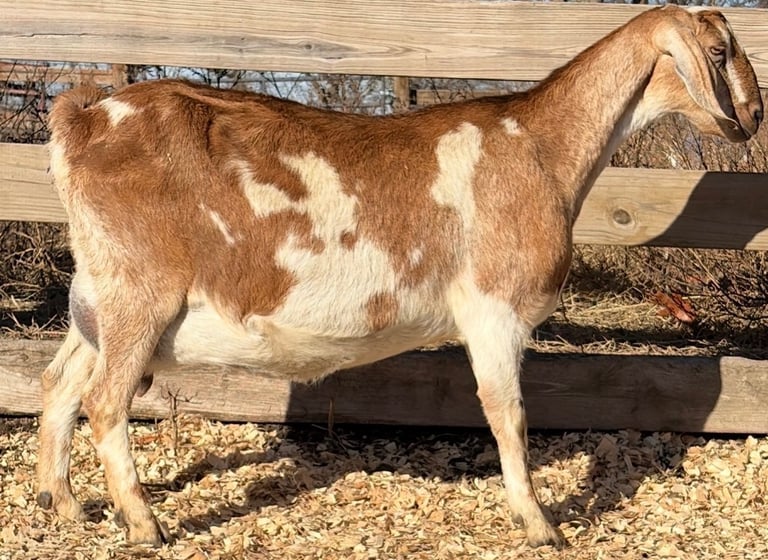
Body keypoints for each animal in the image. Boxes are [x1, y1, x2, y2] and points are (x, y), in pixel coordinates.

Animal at [37, 5, 762, 548]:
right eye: (719, 50)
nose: (754, 117)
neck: (540, 145)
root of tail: (85, 117)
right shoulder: (493, 308)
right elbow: (508, 414)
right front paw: (540, 525)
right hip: (140, 293)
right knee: (104, 400)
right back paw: (143, 525)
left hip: (98, 295)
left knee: (60, 384)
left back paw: (64, 504)